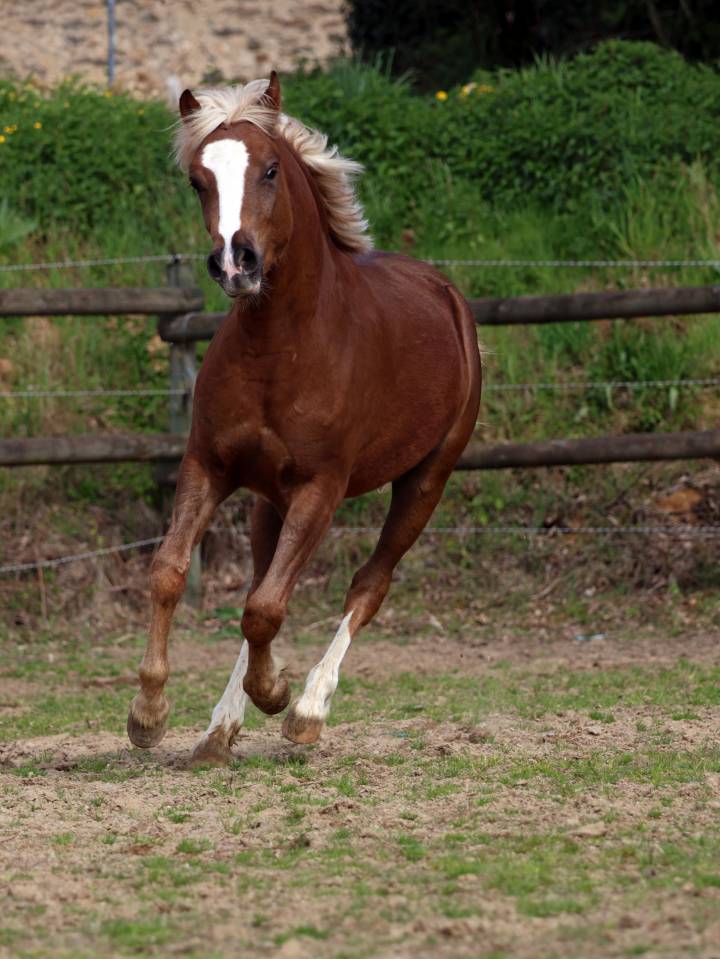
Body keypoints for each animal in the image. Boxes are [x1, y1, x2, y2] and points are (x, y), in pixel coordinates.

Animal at [126, 72, 482, 766]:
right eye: (198, 180)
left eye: (269, 170)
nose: (235, 262)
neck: (281, 348)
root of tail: (447, 294)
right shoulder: (209, 465)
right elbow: (172, 575)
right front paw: (149, 715)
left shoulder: (322, 488)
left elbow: (266, 608)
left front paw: (276, 694)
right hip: (270, 498)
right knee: (263, 585)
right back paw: (219, 730)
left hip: (426, 481)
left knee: (368, 585)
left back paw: (308, 709)